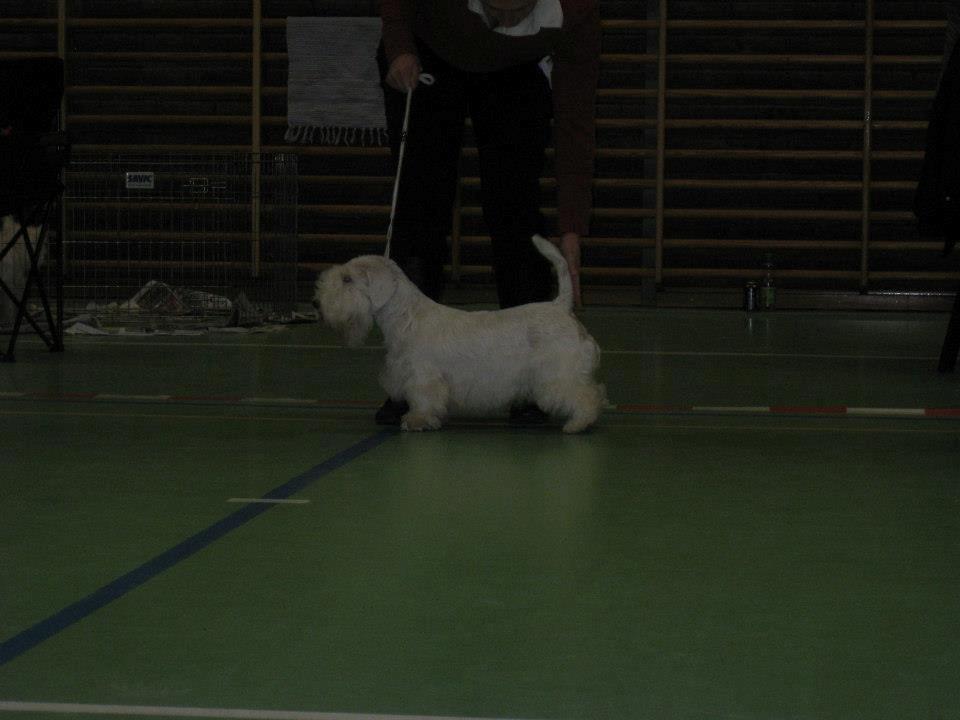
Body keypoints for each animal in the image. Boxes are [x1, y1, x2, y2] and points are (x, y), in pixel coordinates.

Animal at [316, 235, 604, 434]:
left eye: (347, 280)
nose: (316, 303)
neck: (406, 317)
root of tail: (561, 305)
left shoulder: (423, 375)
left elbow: (423, 399)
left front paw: (417, 421)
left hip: (558, 374)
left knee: (586, 395)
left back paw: (578, 424)